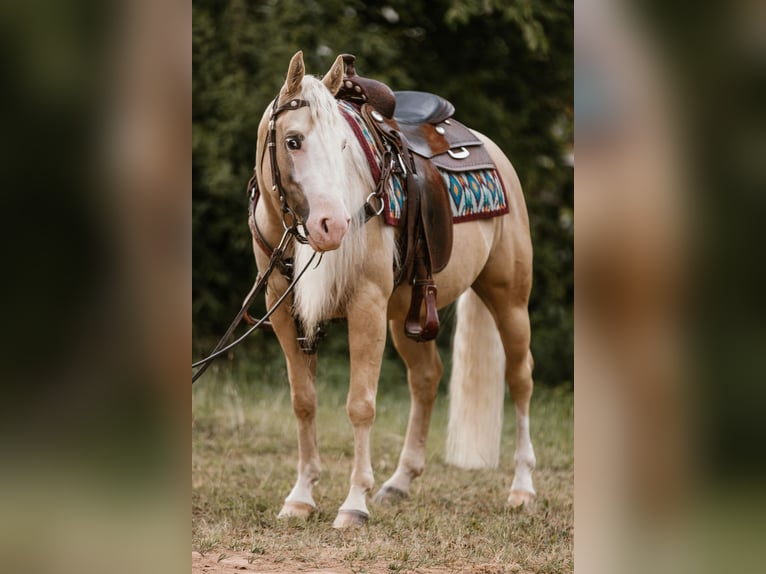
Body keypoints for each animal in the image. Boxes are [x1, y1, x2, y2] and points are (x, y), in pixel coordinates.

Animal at [250, 51, 536, 528]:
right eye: (293, 141)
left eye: (343, 146)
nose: (333, 225)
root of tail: (489, 147)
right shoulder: (284, 311)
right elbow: (303, 401)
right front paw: (301, 497)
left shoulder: (365, 307)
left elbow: (360, 405)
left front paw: (353, 505)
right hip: (409, 314)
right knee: (426, 378)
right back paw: (400, 482)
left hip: (509, 299)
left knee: (520, 378)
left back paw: (522, 488)